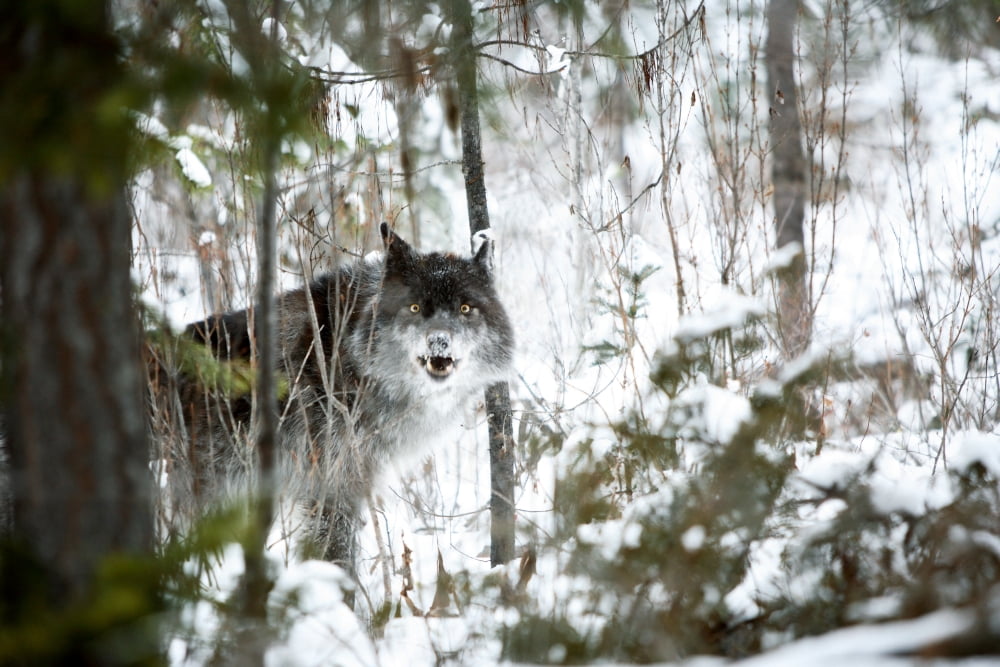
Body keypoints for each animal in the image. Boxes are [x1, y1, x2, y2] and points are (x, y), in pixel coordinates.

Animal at [146, 223, 514, 570]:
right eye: (414, 307)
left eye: (465, 308)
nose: (439, 342)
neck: (348, 357)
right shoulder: (330, 487)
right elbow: (337, 556)